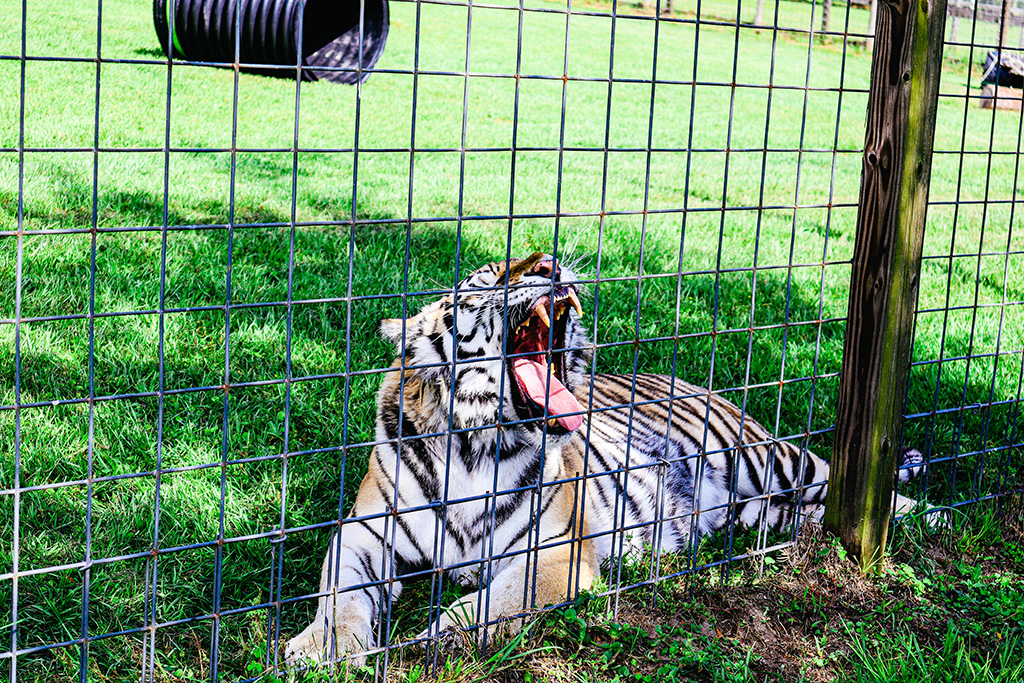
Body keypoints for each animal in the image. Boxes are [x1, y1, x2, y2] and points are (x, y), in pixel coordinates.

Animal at [282, 250, 929, 667]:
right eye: (486, 279)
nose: (548, 263)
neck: (474, 445)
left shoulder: (556, 551)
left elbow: (496, 604)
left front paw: (434, 637)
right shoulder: (363, 534)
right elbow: (338, 595)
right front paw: (320, 648)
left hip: (771, 459)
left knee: (868, 492)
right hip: (762, 510)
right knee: (806, 516)